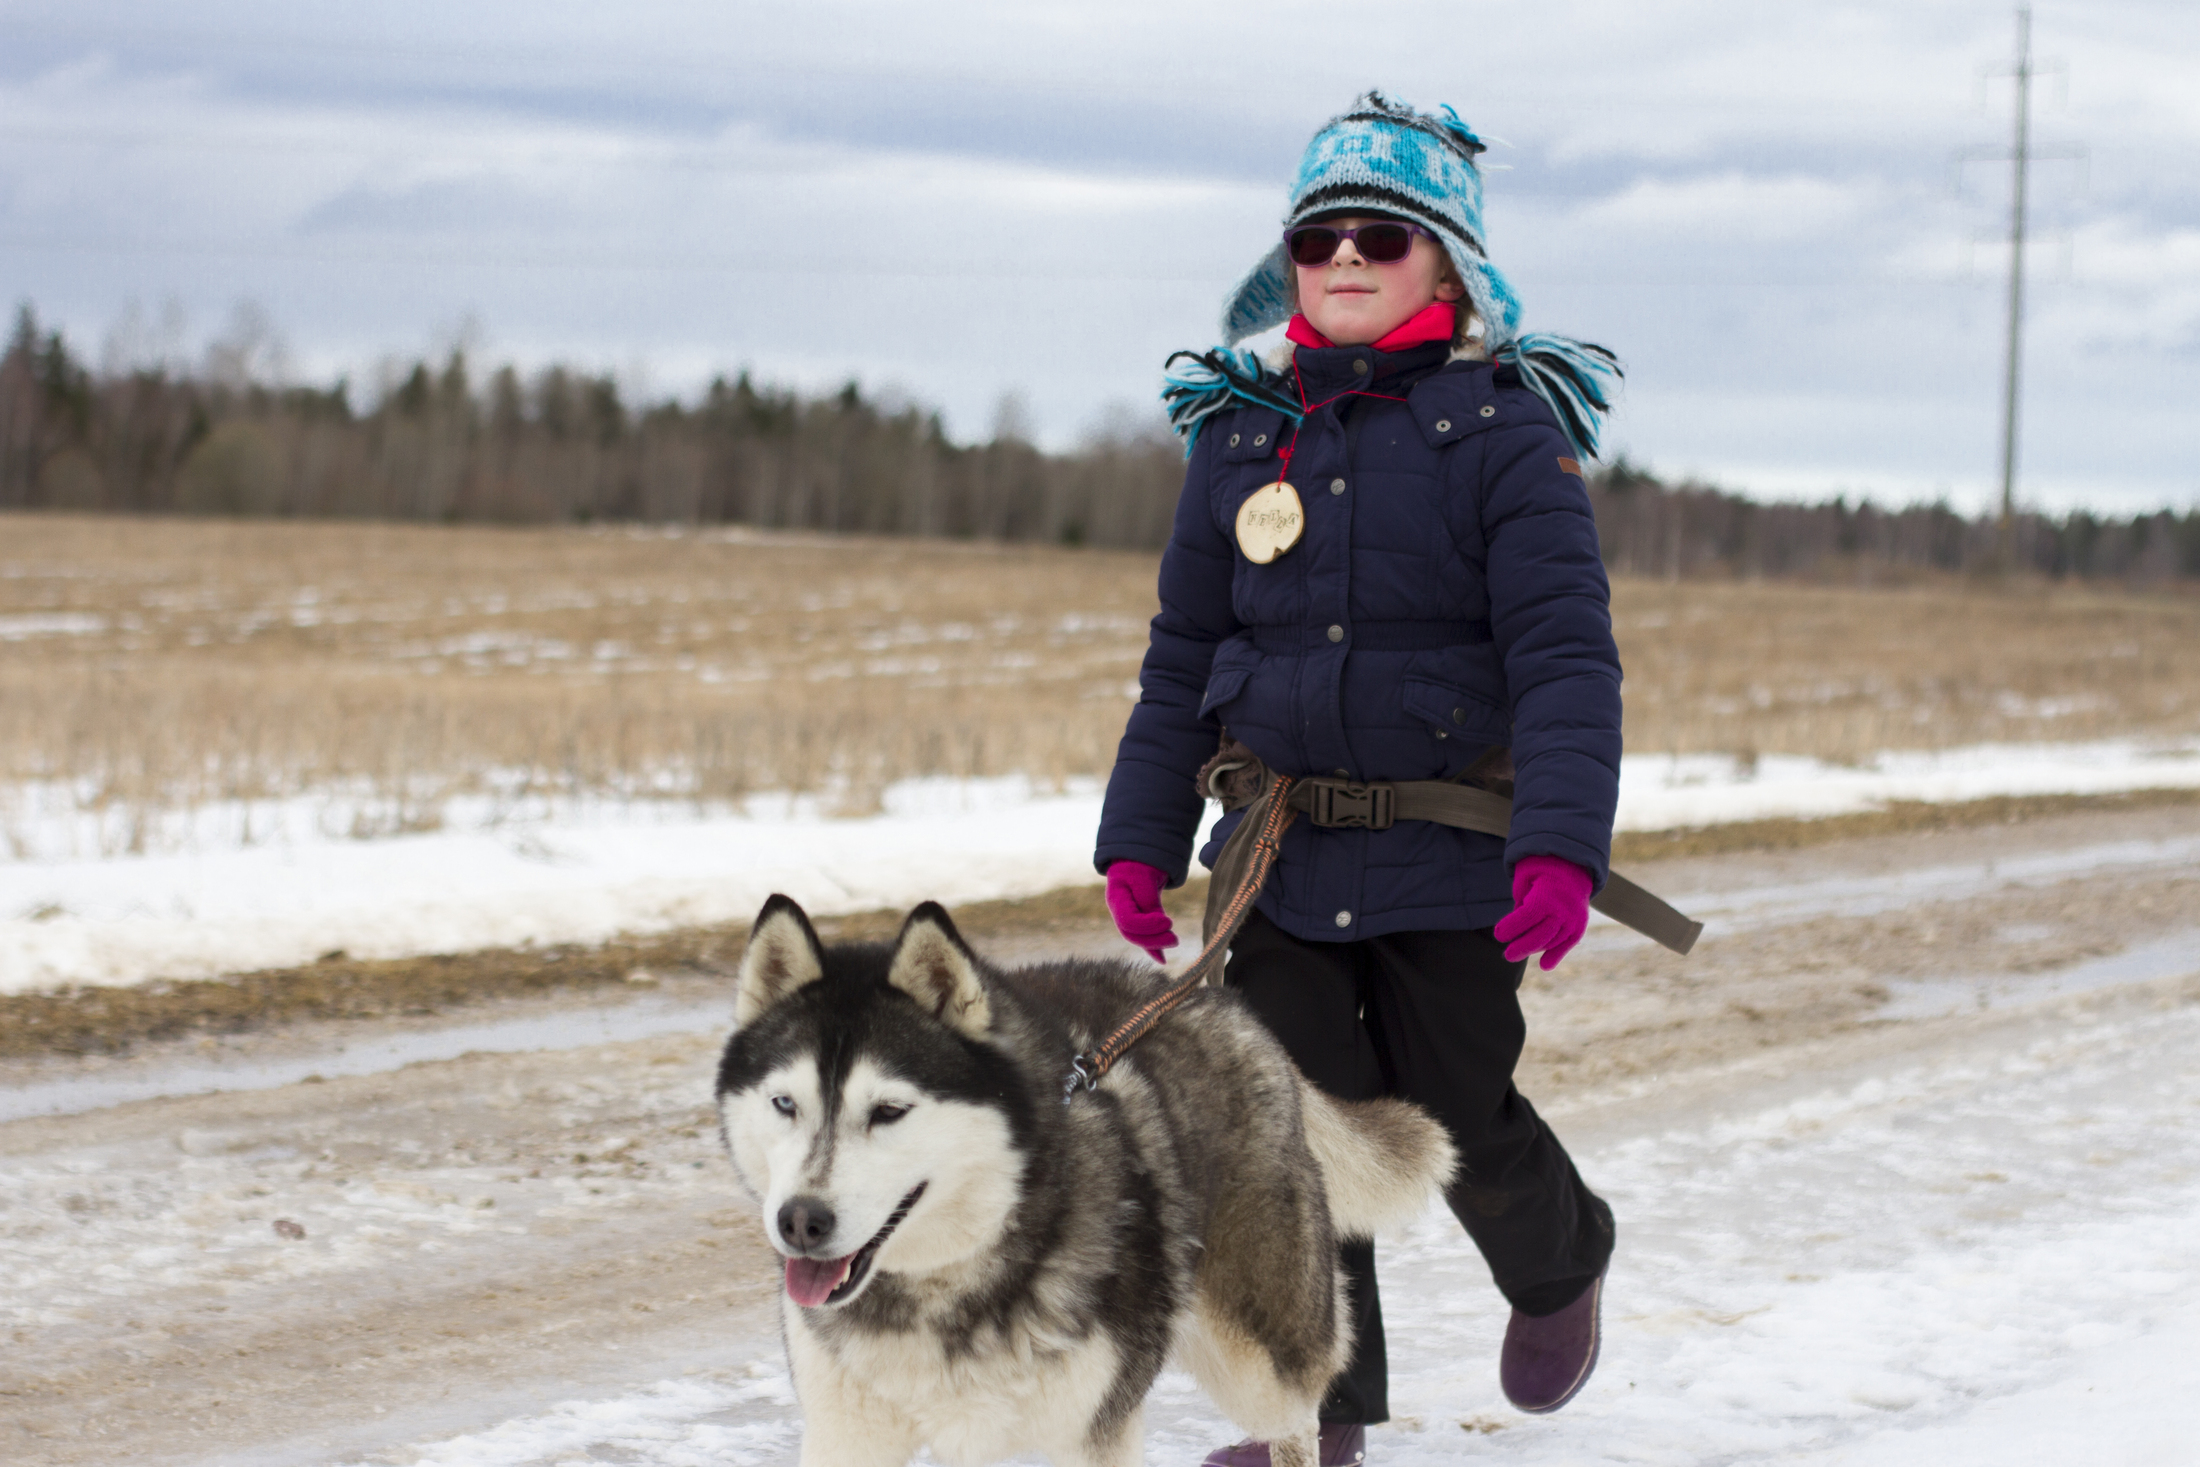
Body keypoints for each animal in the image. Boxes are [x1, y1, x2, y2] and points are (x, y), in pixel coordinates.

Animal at [712, 897, 1452, 1467]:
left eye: (889, 1110)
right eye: (785, 1103)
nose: (801, 1221)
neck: (943, 1288)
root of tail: (1215, 1000)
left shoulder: (1091, 1431)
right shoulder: (849, 1434)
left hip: (1261, 1355)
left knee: (1297, 1420)